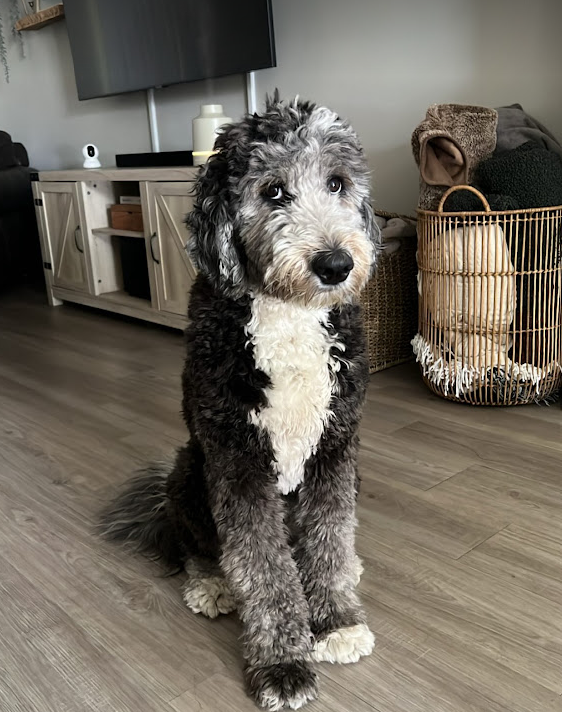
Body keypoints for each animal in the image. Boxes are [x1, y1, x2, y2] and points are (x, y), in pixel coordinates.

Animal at [103, 96, 378, 712]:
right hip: (189, 470)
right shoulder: (237, 458)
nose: (336, 265)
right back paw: (210, 584)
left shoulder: (334, 446)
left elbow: (329, 537)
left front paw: (335, 622)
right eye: (273, 191)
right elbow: (261, 566)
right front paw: (283, 665)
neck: (289, 313)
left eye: (337, 182)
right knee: (195, 545)